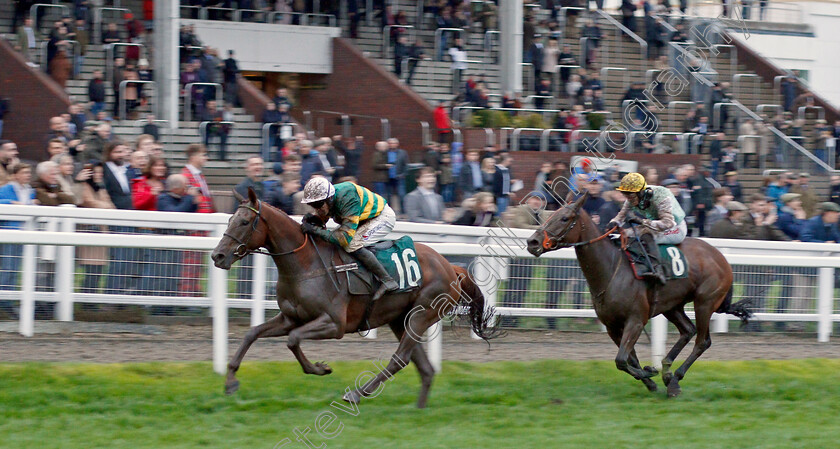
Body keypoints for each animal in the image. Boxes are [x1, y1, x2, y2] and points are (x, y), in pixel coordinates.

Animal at [212, 187, 498, 408]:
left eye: (244, 222)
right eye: (229, 220)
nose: (217, 256)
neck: (305, 264)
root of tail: (451, 266)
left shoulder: (334, 324)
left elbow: (293, 340)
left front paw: (320, 368)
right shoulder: (290, 318)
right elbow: (252, 333)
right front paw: (230, 382)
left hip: (422, 314)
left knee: (400, 359)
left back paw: (357, 394)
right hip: (400, 319)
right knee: (423, 366)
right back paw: (419, 408)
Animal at [524, 192, 748, 396]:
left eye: (564, 218)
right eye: (549, 216)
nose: (532, 242)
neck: (611, 269)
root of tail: (721, 257)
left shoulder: (636, 320)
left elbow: (621, 359)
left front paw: (650, 373)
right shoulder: (612, 326)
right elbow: (627, 359)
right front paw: (650, 380)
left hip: (705, 302)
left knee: (702, 341)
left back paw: (675, 379)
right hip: (672, 306)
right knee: (687, 330)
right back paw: (667, 372)